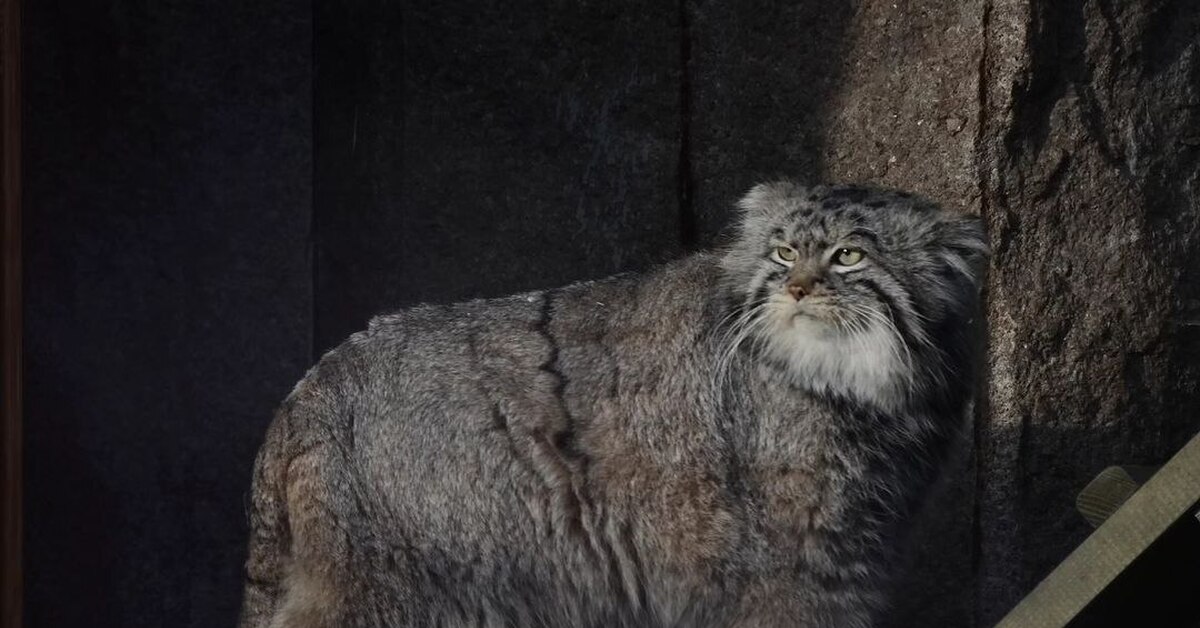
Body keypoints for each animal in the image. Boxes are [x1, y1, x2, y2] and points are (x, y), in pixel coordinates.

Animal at [239, 181, 987, 628]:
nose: (796, 288)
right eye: (781, 252)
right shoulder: (793, 569)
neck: (855, 391)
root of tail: (307, 391)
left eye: (849, 255)